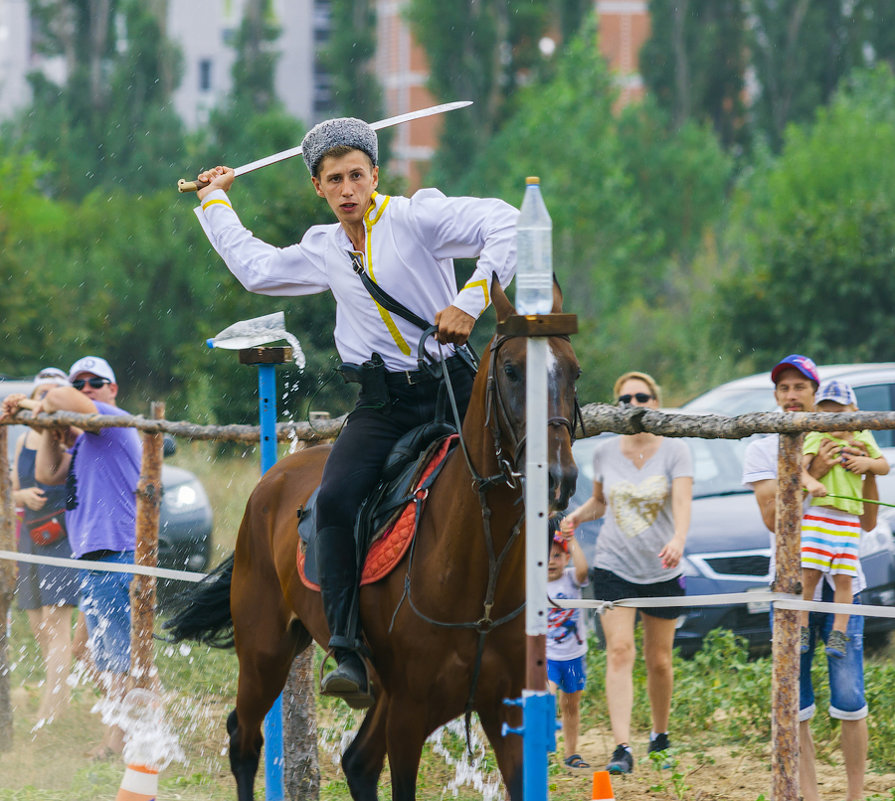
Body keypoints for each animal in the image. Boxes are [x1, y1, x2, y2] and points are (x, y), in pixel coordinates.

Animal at [164, 278, 576, 796]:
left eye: (574, 372)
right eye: (512, 371)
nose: (559, 477)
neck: (477, 570)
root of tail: (270, 480)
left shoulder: (505, 712)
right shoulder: (409, 712)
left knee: (356, 760)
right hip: (264, 652)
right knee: (244, 739)